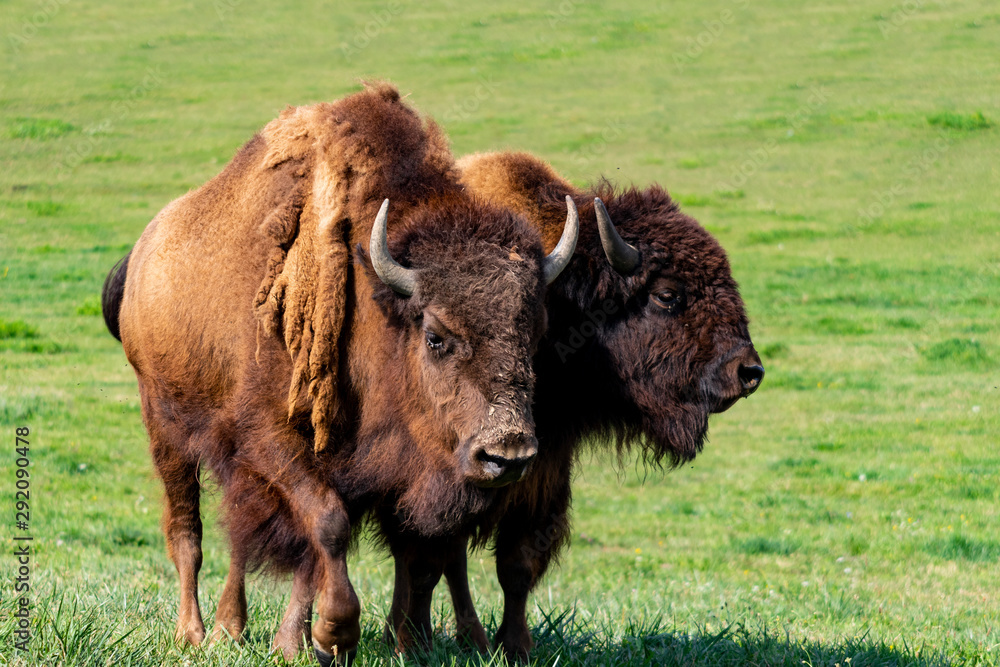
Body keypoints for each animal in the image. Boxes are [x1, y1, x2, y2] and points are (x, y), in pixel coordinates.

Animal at [98, 85, 580, 664]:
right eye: (435, 335)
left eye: (535, 332)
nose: (507, 453)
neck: (374, 303)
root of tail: (144, 253)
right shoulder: (273, 443)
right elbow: (328, 526)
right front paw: (335, 634)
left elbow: (367, 549)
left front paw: (325, 641)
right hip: (167, 431)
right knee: (187, 530)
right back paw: (195, 633)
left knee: (238, 542)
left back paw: (234, 630)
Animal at [368, 153, 764, 664]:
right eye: (668, 294)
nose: (748, 371)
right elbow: (434, 557)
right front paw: (422, 643)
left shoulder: (543, 478)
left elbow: (517, 566)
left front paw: (516, 648)